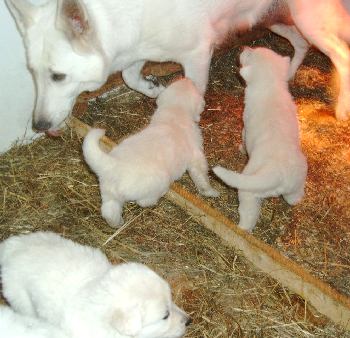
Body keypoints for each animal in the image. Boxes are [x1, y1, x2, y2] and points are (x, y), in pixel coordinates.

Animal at [4, 0, 350, 135]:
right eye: (32, 74)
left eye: (58, 76)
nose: (38, 126)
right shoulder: (139, 51)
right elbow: (131, 77)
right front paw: (154, 90)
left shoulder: (197, 56)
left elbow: (193, 91)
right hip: (278, 19)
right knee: (300, 45)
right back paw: (288, 77)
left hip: (310, 20)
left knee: (342, 55)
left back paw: (340, 110)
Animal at [82, 77, 219, 227]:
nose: (187, 78)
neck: (175, 111)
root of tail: (111, 165)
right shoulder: (196, 156)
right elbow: (202, 177)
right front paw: (211, 192)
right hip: (157, 183)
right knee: (144, 201)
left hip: (109, 194)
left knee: (109, 212)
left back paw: (118, 223)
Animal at [212, 46, 308, 232]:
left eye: (249, 54)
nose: (244, 47)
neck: (271, 87)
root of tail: (279, 173)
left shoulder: (245, 126)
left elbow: (243, 138)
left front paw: (241, 148)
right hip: (296, 184)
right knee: (294, 198)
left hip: (249, 191)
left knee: (249, 216)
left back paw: (241, 229)